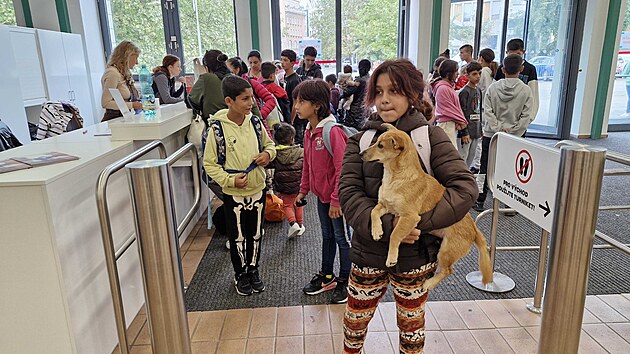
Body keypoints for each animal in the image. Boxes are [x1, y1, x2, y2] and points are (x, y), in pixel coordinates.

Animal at [366, 123, 494, 290]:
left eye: (380, 145)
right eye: (376, 142)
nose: (361, 154)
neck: (395, 177)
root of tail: (474, 229)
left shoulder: (409, 217)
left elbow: (394, 235)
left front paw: (392, 257)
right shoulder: (385, 205)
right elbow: (373, 212)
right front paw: (377, 231)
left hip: (445, 251)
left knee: (448, 270)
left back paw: (429, 283)